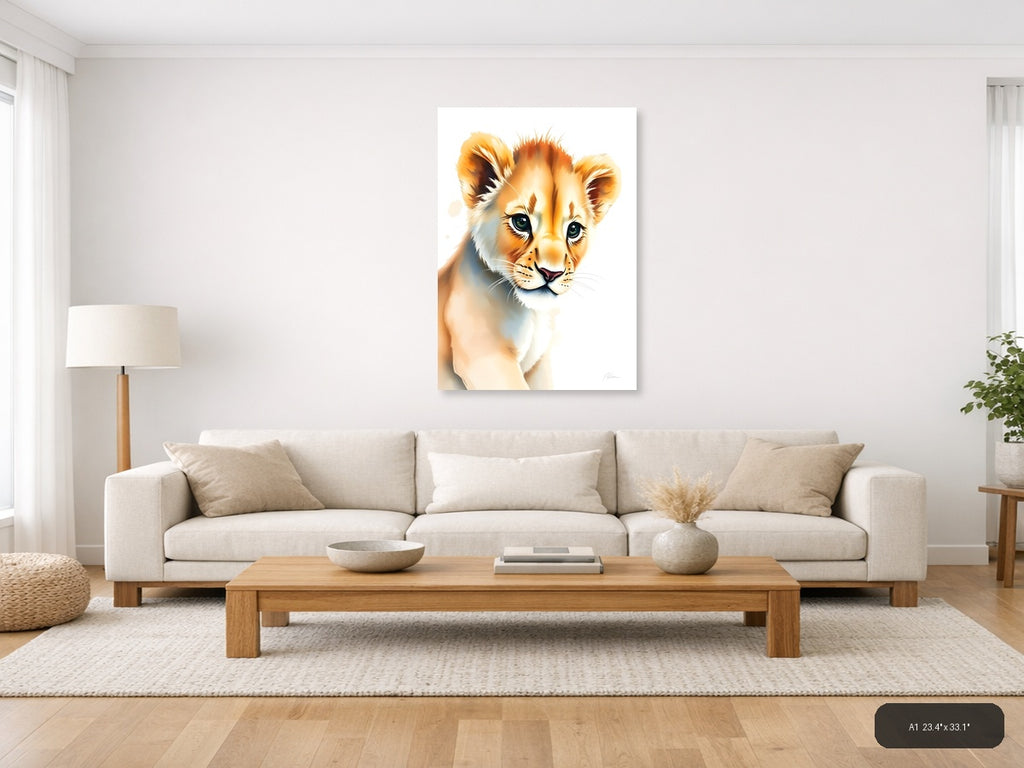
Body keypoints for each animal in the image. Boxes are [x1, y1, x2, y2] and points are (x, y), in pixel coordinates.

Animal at [438, 133, 621, 389]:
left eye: (574, 229)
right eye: (521, 222)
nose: (551, 273)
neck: (532, 315)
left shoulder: (538, 366)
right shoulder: (484, 357)